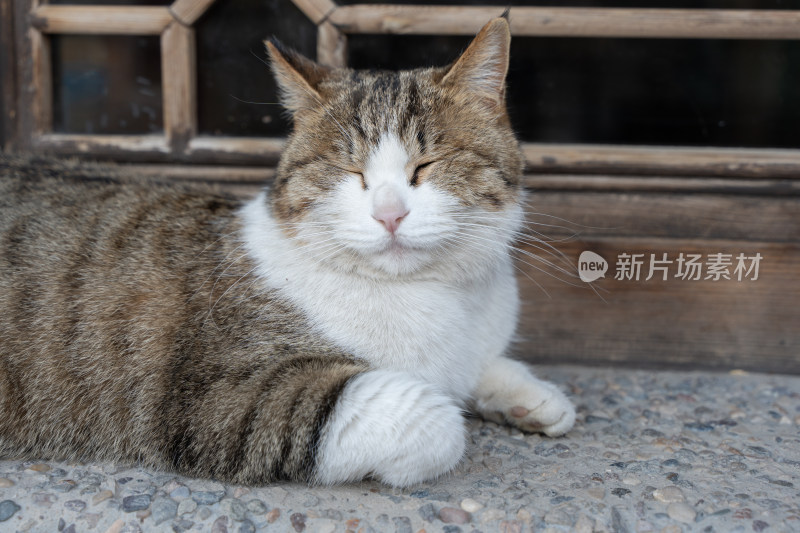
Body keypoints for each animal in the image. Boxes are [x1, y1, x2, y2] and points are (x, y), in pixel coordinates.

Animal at [0, 18, 576, 486]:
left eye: (427, 165)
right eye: (349, 170)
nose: (389, 214)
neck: (431, 295)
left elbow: (481, 367)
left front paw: (527, 396)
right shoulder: (224, 399)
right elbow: (431, 418)